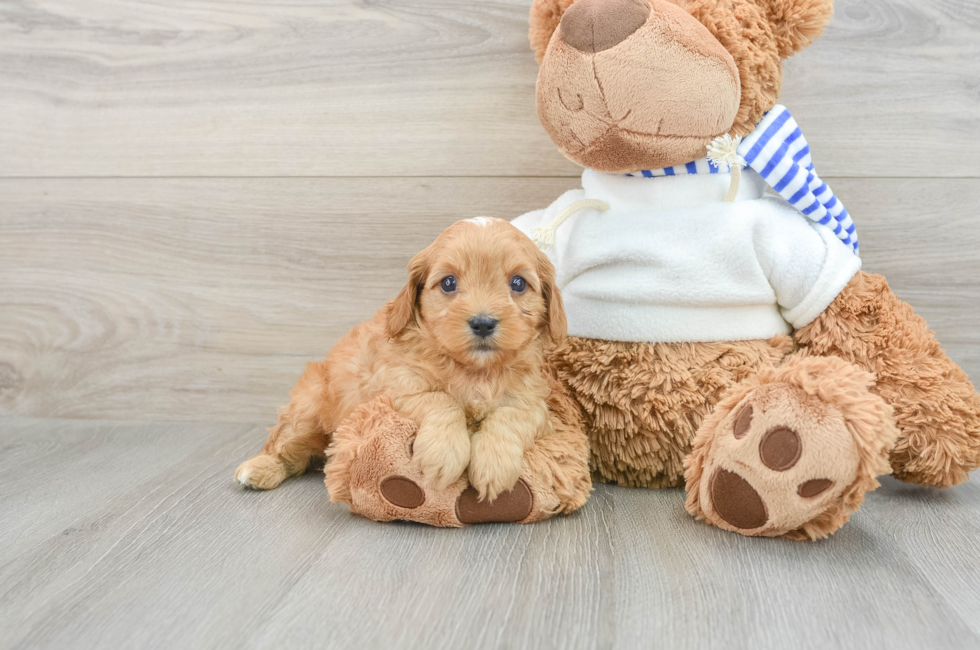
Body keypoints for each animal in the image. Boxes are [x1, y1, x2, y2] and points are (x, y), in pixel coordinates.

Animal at [234, 215, 568, 498]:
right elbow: (441, 399)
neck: (474, 370)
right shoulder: (395, 390)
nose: (483, 323)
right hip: (307, 409)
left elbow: (511, 415)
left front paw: (494, 464)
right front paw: (443, 454)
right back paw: (258, 468)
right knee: (286, 448)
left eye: (518, 283)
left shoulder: (534, 402)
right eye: (449, 282)